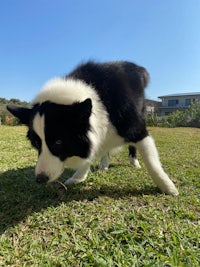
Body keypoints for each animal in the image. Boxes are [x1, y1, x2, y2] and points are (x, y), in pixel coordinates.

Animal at [7, 60, 179, 196]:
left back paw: (134, 162)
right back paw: (104, 164)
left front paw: (167, 186)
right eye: (36, 143)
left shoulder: (137, 129)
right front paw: (79, 176)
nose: (40, 179)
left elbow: (152, 163)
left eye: (58, 142)